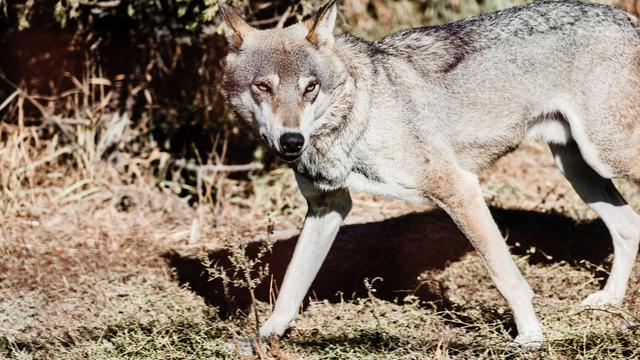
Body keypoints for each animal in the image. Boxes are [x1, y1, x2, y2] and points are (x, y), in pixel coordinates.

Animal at [221, 0, 640, 346]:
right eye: (263, 87)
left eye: (310, 88)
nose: (291, 141)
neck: (359, 113)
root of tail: (628, 19)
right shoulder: (328, 207)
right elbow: (291, 286)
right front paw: (263, 338)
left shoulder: (459, 188)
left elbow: (508, 278)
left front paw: (531, 339)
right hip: (578, 167)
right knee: (628, 226)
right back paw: (609, 300)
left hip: (605, 157)